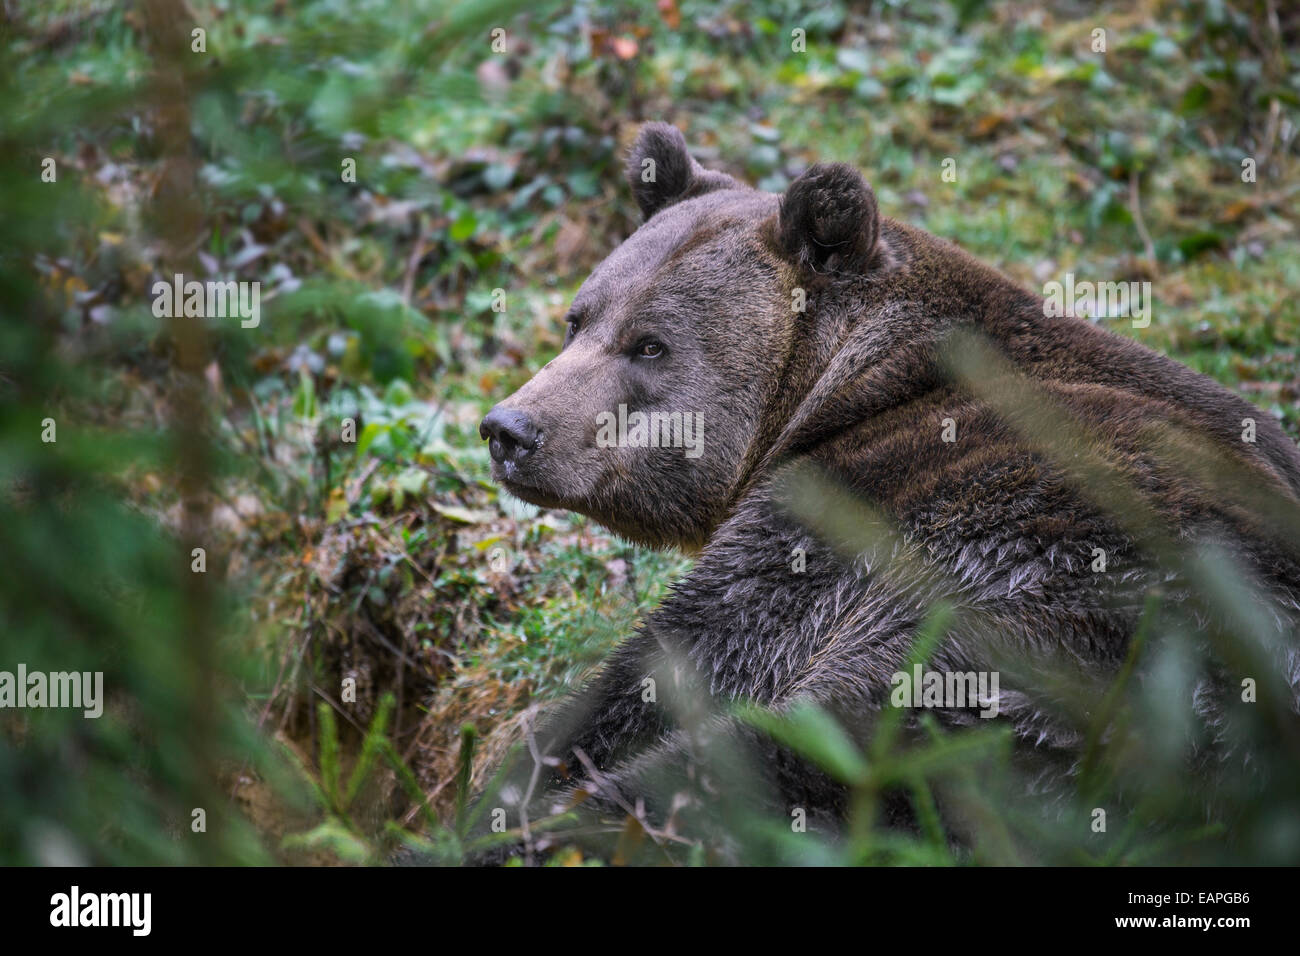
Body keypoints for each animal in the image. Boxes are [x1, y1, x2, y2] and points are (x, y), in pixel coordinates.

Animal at [475, 123, 1300, 863]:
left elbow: (676, 667)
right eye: (578, 318)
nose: (510, 428)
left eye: (650, 344)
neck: (840, 390)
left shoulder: (853, 518)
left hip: (1046, 652)